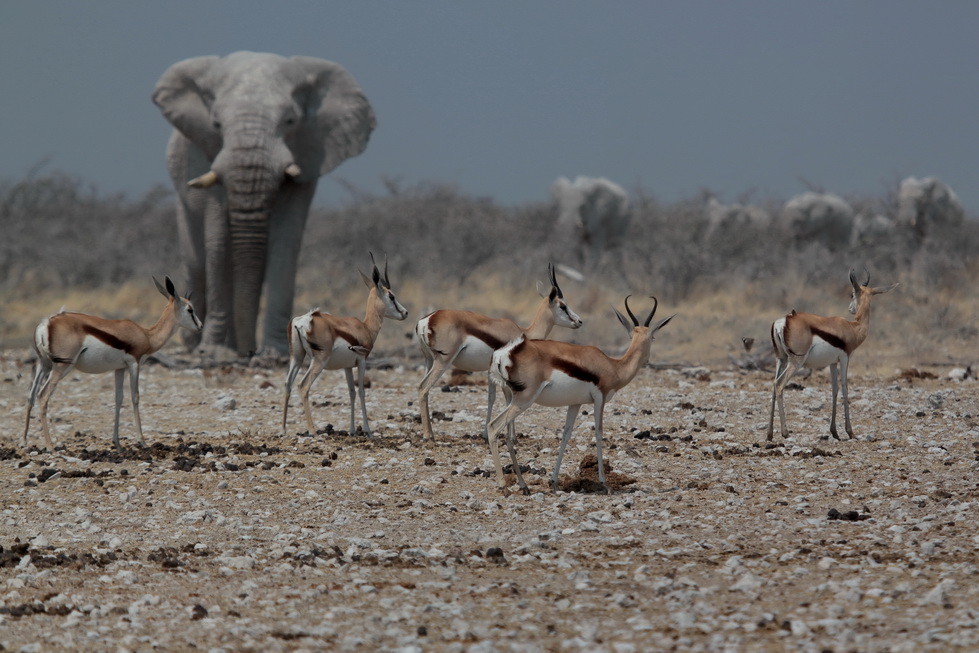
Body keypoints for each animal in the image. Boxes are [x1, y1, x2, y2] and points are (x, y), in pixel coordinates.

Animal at [153, 51, 376, 356]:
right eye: (216, 125)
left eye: (291, 121)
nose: (250, 352)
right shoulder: (205, 153)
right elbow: (219, 242)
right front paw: (215, 352)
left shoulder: (309, 155)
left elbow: (286, 243)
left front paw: (276, 352)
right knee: (198, 263)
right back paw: (199, 345)